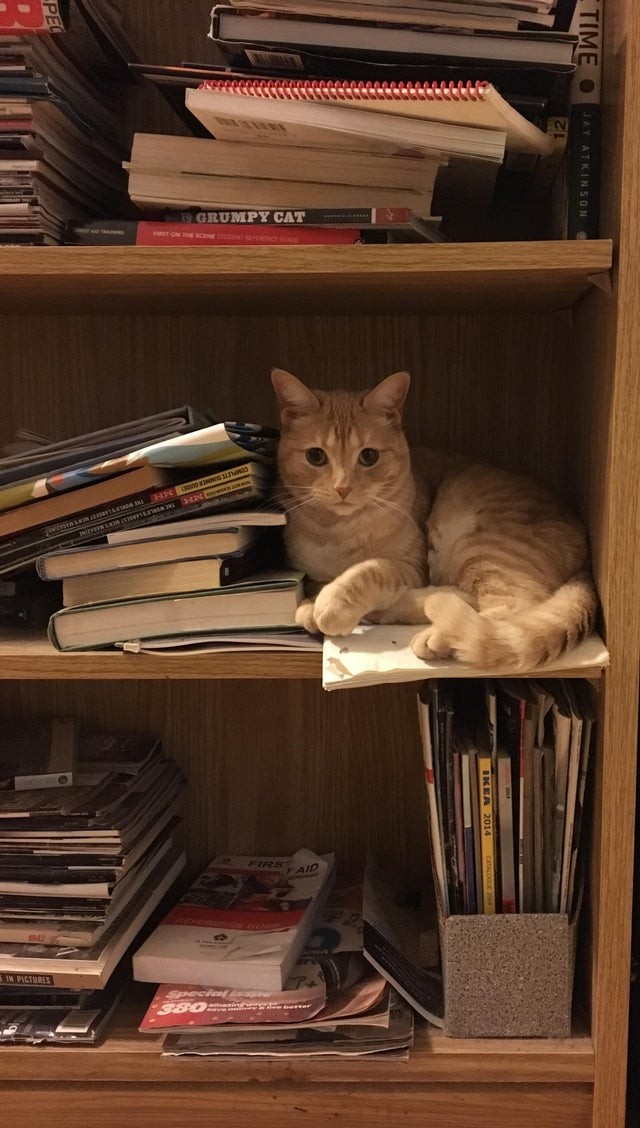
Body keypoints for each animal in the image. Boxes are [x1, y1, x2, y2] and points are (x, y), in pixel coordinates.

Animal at [273, 367, 600, 667]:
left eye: (369, 456)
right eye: (316, 456)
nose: (343, 488)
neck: (338, 532)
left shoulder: (411, 566)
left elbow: (370, 570)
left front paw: (332, 604)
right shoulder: (310, 572)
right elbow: (319, 582)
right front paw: (312, 603)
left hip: (477, 541)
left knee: (508, 607)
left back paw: (437, 635)